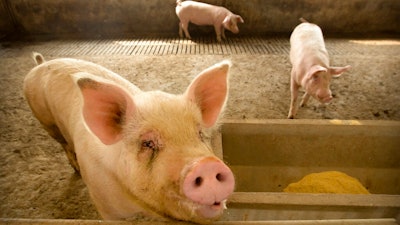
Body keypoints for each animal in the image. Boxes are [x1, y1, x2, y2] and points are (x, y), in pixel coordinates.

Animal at [24, 52, 234, 223]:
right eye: (147, 143)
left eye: (199, 134)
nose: (207, 164)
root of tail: (41, 64)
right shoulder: (104, 206)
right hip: (47, 121)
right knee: (64, 144)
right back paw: (75, 169)